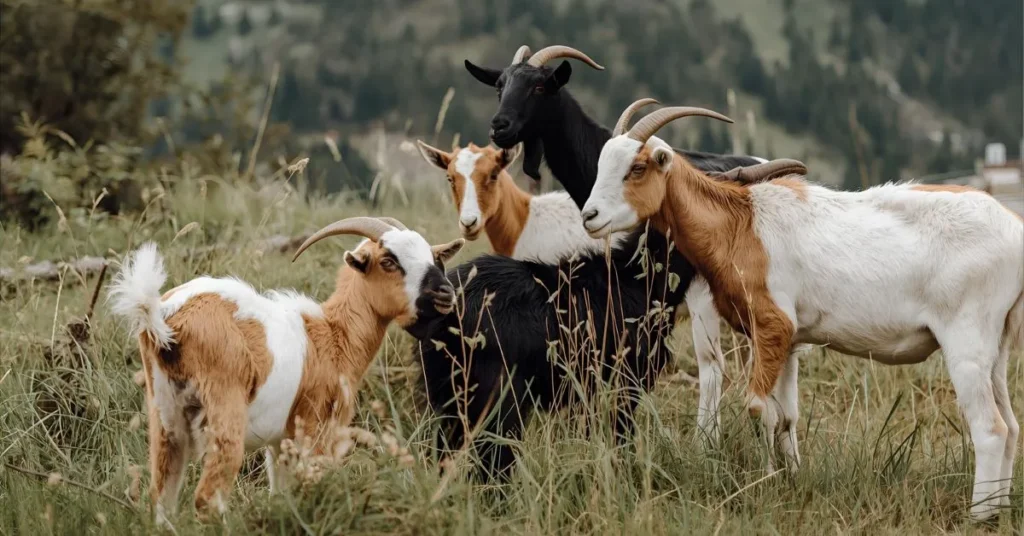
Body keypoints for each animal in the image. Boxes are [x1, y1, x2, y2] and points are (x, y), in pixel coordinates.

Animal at [110, 217, 464, 525]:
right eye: (389, 261)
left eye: (434, 257)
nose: (445, 293)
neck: (334, 336)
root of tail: (166, 317)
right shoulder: (316, 427)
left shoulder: (281, 439)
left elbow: (280, 492)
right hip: (224, 411)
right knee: (207, 497)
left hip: (166, 415)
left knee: (162, 496)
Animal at [581, 100, 1024, 521]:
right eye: (603, 163)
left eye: (637, 167)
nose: (590, 216)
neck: (739, 223)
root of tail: (1013, 229)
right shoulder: (788, 342)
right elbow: (786, 416)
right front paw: (790, 478)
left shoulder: (771, 325)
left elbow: (758, 409)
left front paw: (764, 483)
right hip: (996, 347)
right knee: (1011, 425)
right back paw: (998, 508)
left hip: (965, 341)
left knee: (991, 428)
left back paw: (978, 515)